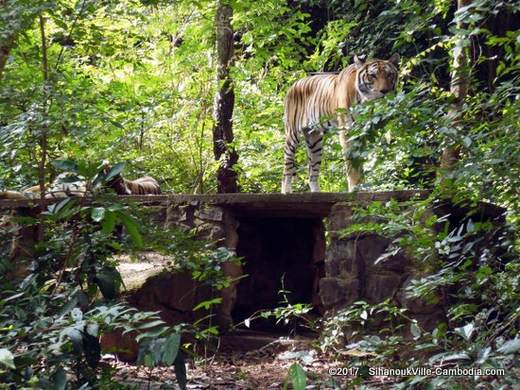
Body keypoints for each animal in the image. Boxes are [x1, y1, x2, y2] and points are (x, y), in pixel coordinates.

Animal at [282, 53, 400, 193]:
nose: (385, 91)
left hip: (314, 141)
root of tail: (293, 84)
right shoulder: (348, 131)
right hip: (292, 135)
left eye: (389, 75)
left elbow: (359, 162)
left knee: (312, 172)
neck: (365, 102)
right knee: (287, 167)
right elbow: (352, 163)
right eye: (372, 75)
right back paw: (286, 191)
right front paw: (355, 188)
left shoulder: (362, 132)